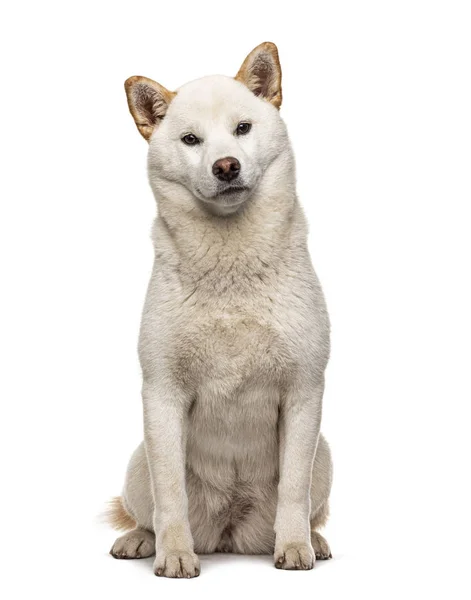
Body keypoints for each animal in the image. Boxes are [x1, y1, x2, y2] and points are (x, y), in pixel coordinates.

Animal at [109, 41, 334, 576]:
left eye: (243, 128)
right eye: (191, 140)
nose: (226, 165)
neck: (232, 268)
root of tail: (232, 530)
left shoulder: (304, 391)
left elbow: (293, 489)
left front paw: (294, 547)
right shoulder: (162, 395)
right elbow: (170, 494)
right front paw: (174, 554)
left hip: (325, 455)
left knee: (309, 503)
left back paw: (315, 539)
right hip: (138, 461)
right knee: (148, 510)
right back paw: (141, 540)